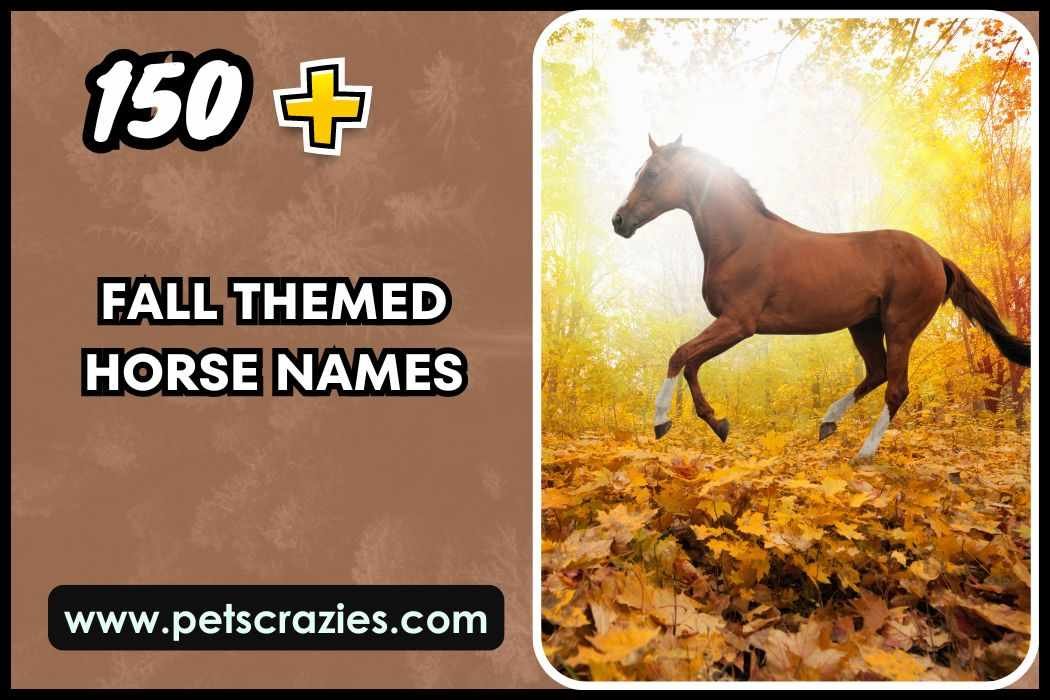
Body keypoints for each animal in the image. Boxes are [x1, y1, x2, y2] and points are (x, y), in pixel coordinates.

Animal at [612, 135, 1031, 461]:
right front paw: (719, 424)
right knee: (876, 373)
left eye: (652, 173)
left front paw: (662, 422)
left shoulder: (738, 323)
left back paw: (864, 452)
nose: (618, 221)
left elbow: (681, 356)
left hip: (900, 327)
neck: (740, 241)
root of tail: (937, 257)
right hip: (864, 326)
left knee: (896, 387)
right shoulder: (731, 326)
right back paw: (828, 423)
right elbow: (692, 364)